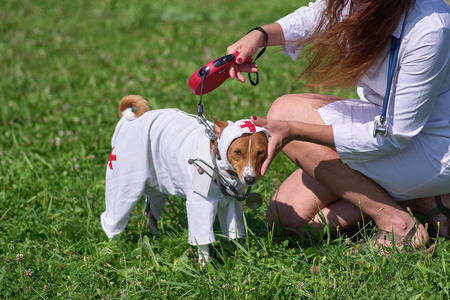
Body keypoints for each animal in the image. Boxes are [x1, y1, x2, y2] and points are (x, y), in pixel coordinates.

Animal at [101, 95, 268, 264]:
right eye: (237, 152)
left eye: (261, 152)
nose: (249, 178)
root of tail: (130, 120)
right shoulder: (200, 204)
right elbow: (203, 243)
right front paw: (206, 267)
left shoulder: (232, 204)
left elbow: (236, 233)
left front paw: (240, 256)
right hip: (126, 185)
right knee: (114, 217)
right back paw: (114, 247)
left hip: (158, 186)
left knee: (150, 213)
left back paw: (156, 239)